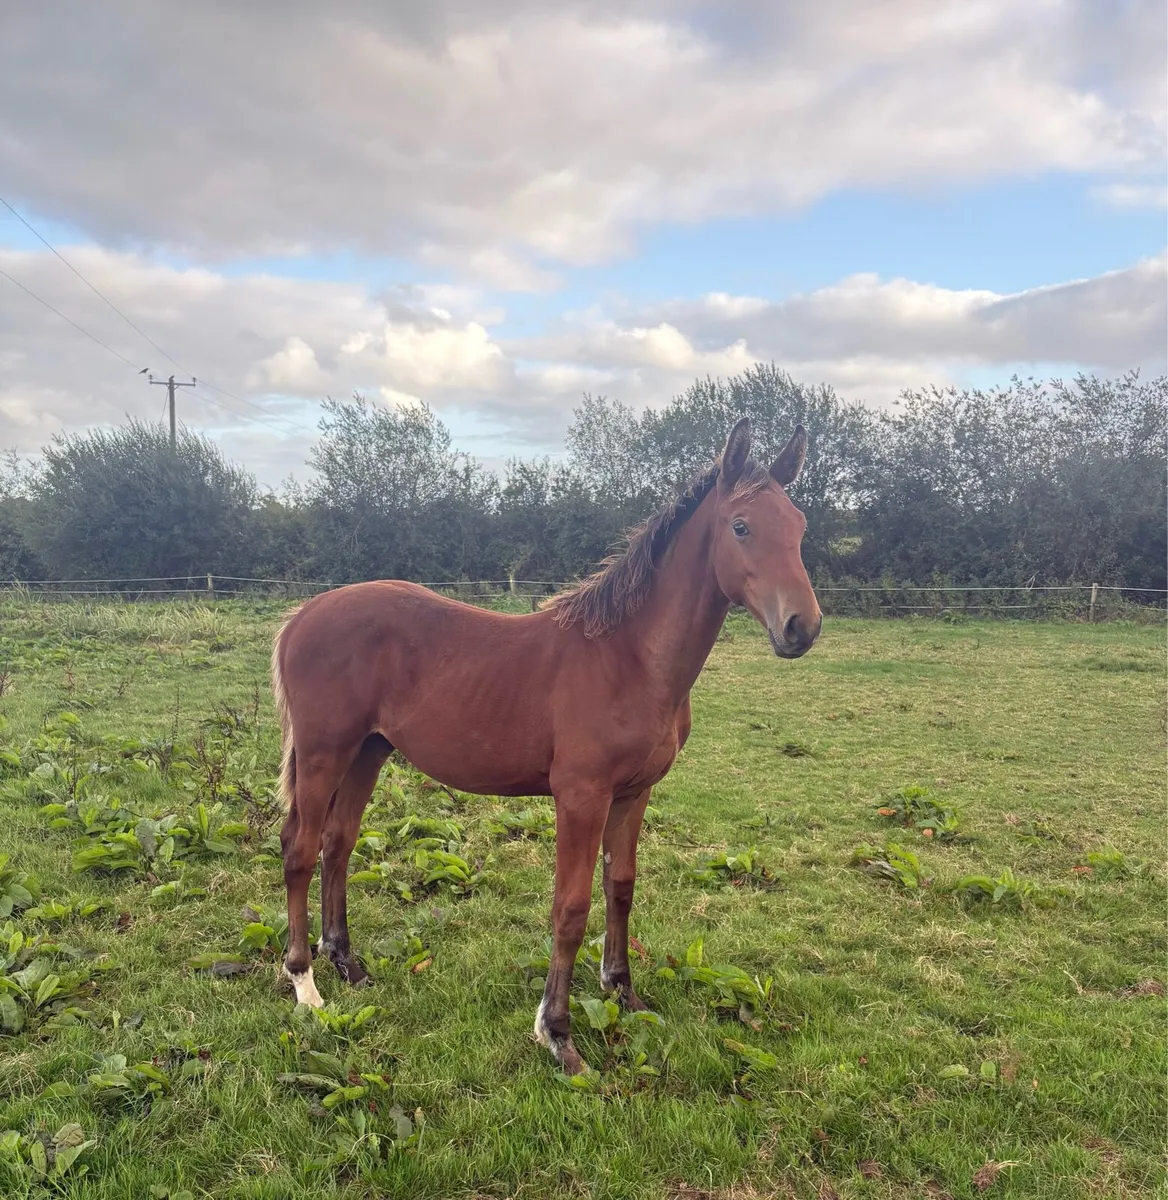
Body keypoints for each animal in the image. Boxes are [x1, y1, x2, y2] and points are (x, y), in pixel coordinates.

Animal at [271, 417, 821, 1074]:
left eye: (799, 527)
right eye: (741, 525)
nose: (802, 627)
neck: (629, 658)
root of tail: (300, 617)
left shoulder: (634, 794)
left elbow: (620, 888)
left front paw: (624, 992)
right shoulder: (580, 797)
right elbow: (570, 908)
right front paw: (557, 1033)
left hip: (368, 753)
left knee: (338, 845)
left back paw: (347, 963)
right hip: (324, 753)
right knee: (301, 849)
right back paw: (306, 985)